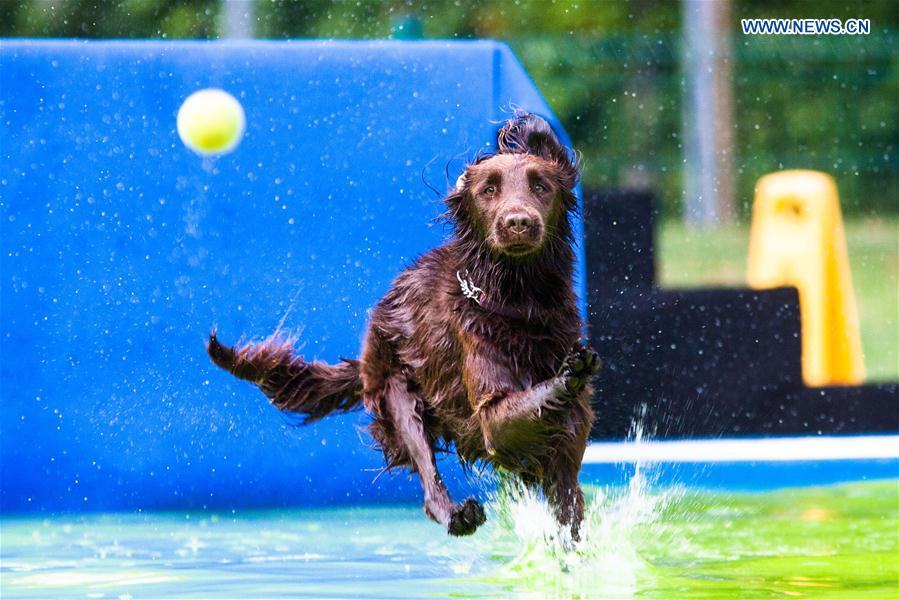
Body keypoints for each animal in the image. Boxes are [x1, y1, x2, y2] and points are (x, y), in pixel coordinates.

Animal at [208, 112, 600, 540]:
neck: (519, 305)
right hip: (397, 388)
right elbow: (521, 408)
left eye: (541, 186)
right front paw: (569, 372)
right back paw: (456, 513)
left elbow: (568, 508)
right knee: (425, 471)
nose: (518, 223)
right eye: (488, 189)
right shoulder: (491, 414)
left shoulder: (566, 446)